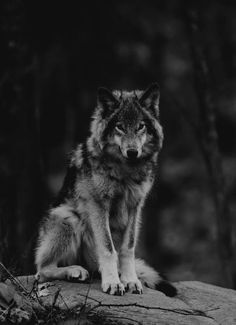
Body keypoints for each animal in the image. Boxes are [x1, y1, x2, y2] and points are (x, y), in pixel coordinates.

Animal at [34, 83, 176, 296]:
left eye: (140, 126)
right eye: (120, 126)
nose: (132, 152)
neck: (125, 171)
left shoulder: (135, 206)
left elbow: (127, 248)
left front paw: (130, 280)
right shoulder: (98, 205)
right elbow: (109, 249)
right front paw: (113, 283)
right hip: (69, 217)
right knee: (42, 270)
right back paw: (75, 271)